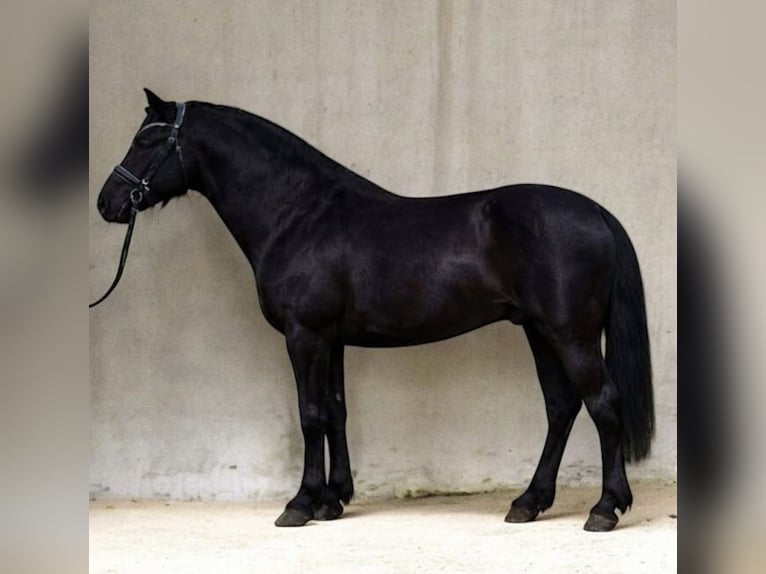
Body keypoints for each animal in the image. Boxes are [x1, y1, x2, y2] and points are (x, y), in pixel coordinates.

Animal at [95, 89, 653, 531]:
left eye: (145, 142)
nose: (107, 202)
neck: (299, 216)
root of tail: (596, 212)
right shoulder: (332, 339)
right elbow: (336, 411)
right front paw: (333, 500)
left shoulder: (304, 335)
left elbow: (310, 415)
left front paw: (299, 504)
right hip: (539, 332)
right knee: (561, 408)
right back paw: (528, 502)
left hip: (570, 335)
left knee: (603, 404)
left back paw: (604, 509)